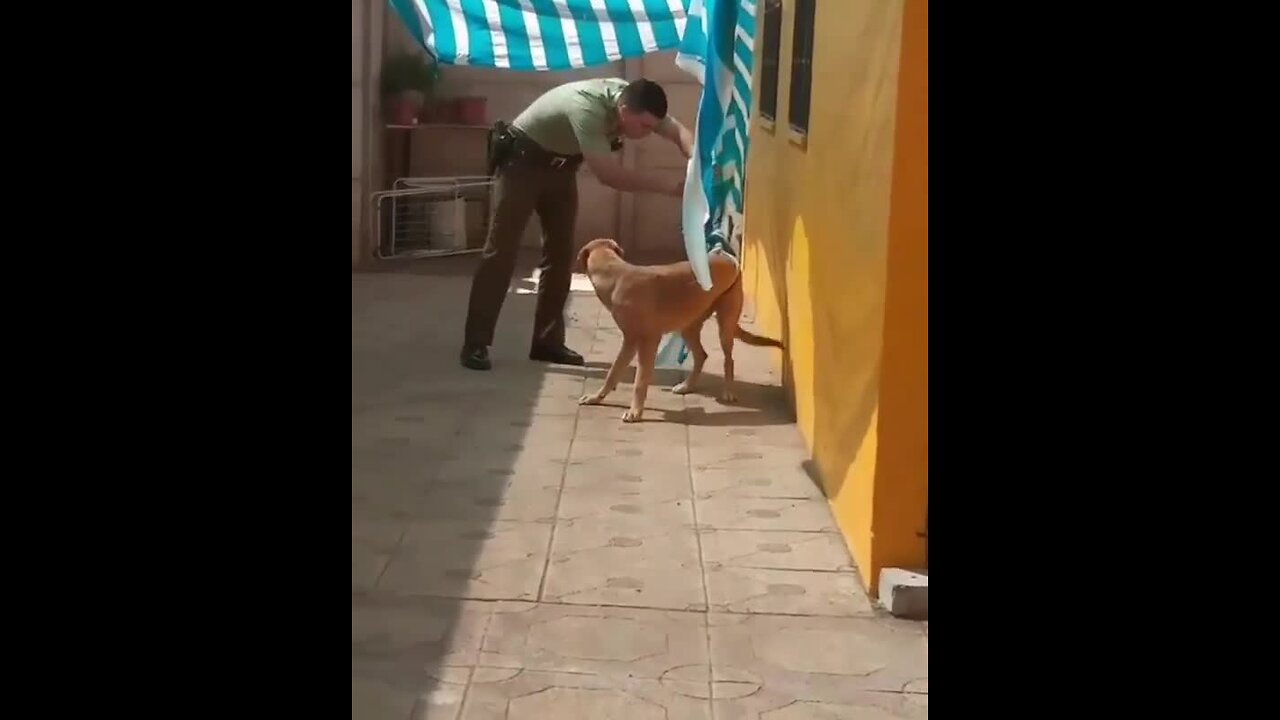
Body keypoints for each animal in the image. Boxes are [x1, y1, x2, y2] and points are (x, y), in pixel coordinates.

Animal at [578, 235, 778, 420]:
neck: (615, 276)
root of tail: (725, 255)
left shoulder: (647, 341)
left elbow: (640, 380)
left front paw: (635, 411)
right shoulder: (630, 341)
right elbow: (613, 372)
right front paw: (597, 397)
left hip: (725, 326)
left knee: (728, 359)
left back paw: (727, 391)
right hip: (689, 326)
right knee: (701, 355)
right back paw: (687, 386)